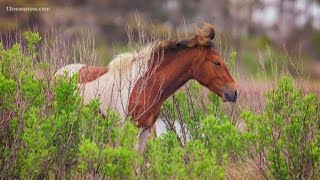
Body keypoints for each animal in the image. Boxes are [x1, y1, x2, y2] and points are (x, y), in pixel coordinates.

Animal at [54, 23, 238, 153]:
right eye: (216, 62)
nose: (234, 92)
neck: (145, 85)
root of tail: (58, 74)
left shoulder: (145, 130)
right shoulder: (126, 130)